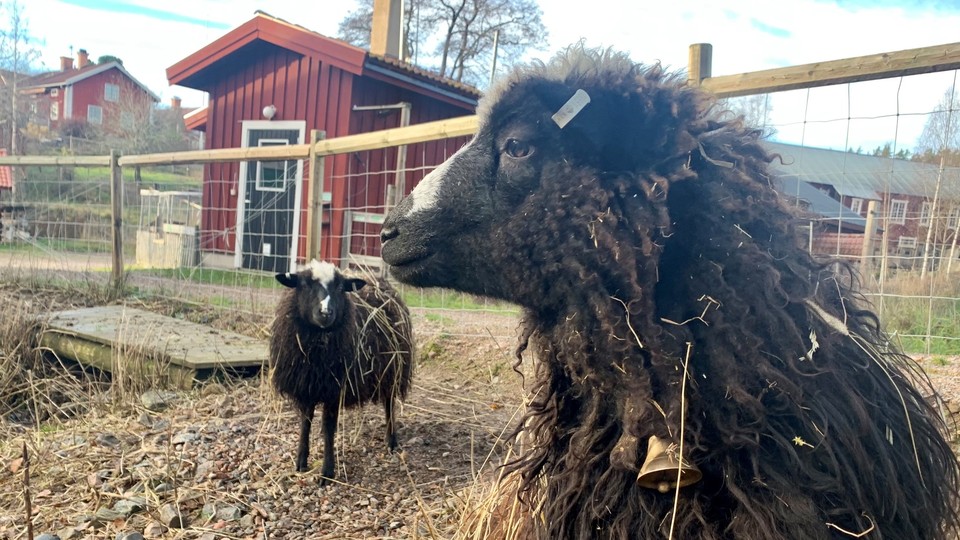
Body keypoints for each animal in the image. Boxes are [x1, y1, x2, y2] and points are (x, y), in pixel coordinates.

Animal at [270, 259, 414, 483]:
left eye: (339, 288)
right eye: (305, 285)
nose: (325, 313)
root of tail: (380, 281)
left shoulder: (334, 389)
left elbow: (328, 427)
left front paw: (327, 472)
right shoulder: (306, 386)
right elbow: (305, 422)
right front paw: (301, 461)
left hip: (392, 370)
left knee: (389, 405)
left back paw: (391, 441)